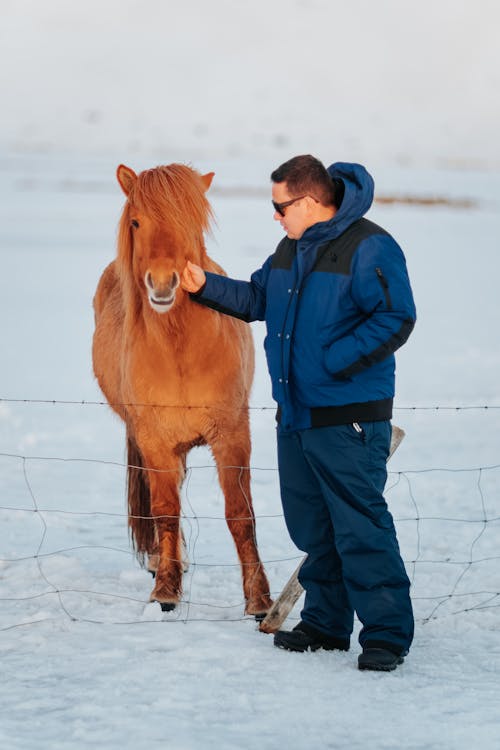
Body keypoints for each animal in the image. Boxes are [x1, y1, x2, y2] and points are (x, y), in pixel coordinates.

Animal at [94, 163, 274, 616]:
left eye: (190, 223)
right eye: (137, 222)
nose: (162, 284)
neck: (181, 350)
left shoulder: (232, 434)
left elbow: (240, 514)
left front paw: (259, 599)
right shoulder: (155, 440)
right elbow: (166, 511)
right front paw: (166, 591)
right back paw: (163, 561)